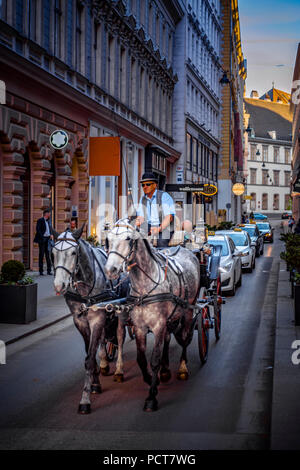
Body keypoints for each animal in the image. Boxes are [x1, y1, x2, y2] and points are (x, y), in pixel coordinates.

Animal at [52, 228, 127, 414]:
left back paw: (119, 370)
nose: (59, 285)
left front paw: (85, 400)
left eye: (73, 252)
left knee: (120, 337)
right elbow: (90, 356)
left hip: (121, 313)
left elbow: (89, 358)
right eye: (53, 253)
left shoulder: (97, 319)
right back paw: (105, 363)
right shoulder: (80, 321)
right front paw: (95, 384)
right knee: (104, 340)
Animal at [104, 219, 200, 412]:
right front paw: (150, 379)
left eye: (128, 238)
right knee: (168, 339)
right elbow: (141, 359)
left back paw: (182, 368)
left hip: (188, 310)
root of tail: (185, 249)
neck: (144, 287)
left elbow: (154, 359)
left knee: (185, 338)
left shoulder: (158, 325)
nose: (111, 270)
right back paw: (165, 370)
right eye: (108, 239)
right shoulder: (140, 327)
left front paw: (151, 397)